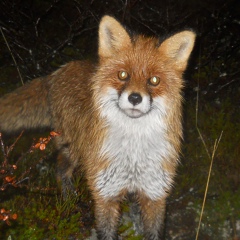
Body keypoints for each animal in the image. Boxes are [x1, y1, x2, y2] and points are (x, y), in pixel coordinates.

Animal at [0, 15, 195, 239]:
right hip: (72, 149)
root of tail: (62, 69)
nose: (135, 98)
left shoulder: (155, 194)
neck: (133, 156)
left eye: (154, 80)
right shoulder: (105, 194)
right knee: (60, 170)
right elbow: (105, 230)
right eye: (122, 75)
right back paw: (70, 199)